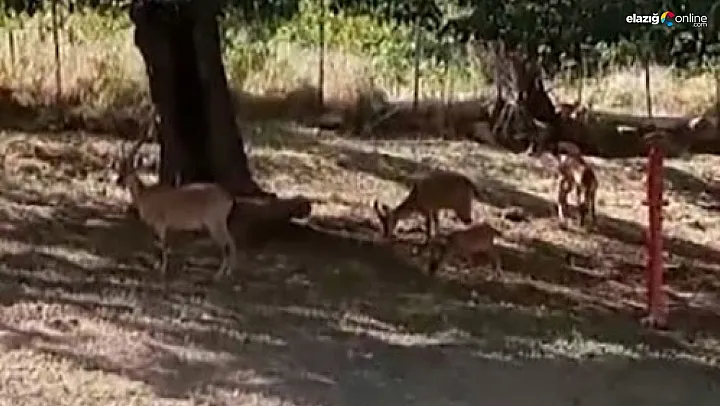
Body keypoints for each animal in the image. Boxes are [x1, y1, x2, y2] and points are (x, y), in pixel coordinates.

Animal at [114, 123, 239, 280]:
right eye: (120, 168)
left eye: (130, 171)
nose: (118, 181)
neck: (145, 196)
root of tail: (229, 198)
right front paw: (157, 266)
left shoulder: (160, 223)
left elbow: (162, 244)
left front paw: (162, 269)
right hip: (220, 223)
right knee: (232, 242)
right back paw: (228, 272)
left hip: (214, 223)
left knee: (227, 244)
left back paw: (219, 274)